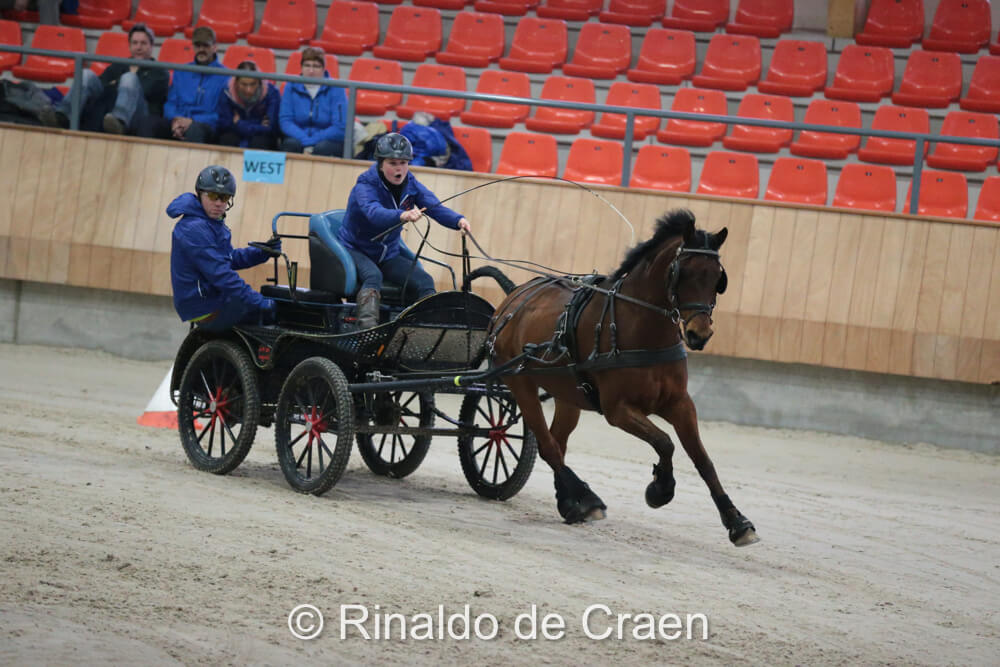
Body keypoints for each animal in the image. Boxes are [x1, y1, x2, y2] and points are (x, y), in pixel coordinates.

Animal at [485, 209, 758, 546]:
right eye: (682, 272)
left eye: (718, 277)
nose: (699, 334)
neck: (640, 327)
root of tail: (514, 298)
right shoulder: (618, 410)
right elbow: (665, 442)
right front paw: (660, 489)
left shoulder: (680, 403)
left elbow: (702, 459)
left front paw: (737, 521)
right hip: (520, 383)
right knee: (548, 445)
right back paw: (586, 500)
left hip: (567, 394)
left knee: (557, 443)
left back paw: (570, 501)